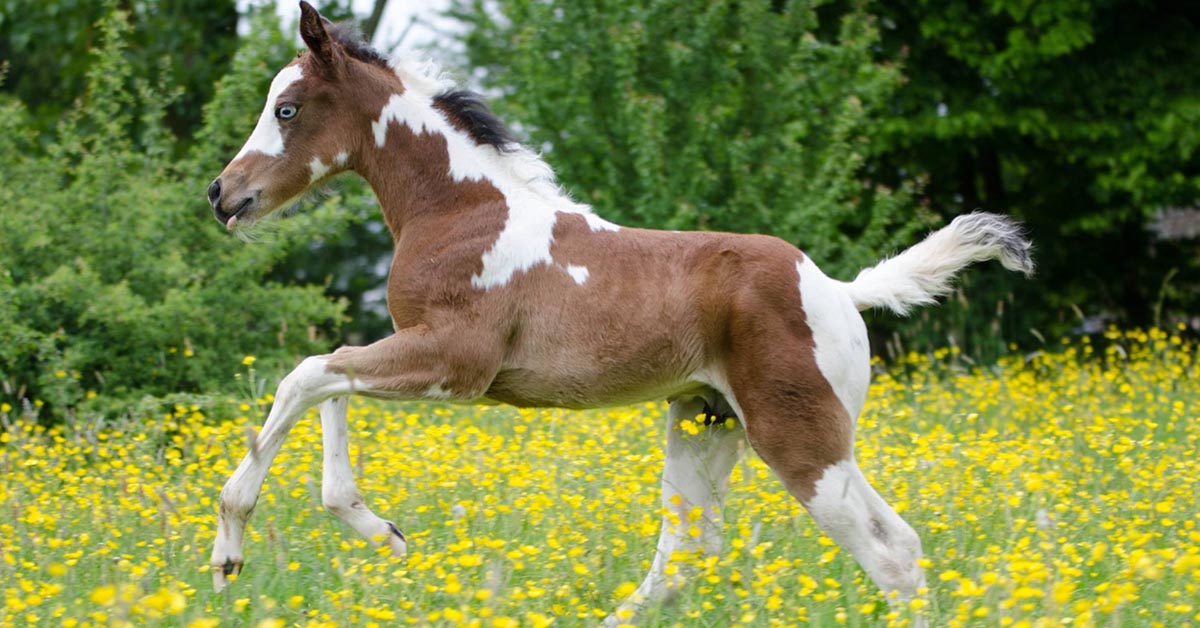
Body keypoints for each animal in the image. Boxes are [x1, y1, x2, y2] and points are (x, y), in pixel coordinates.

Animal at [206, 3, 1032, 624]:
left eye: (287, 108)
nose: (222, 194)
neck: (460, 209)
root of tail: (838, 289)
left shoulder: (454, 359)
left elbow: (308, 374)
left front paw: (229, 553)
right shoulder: (420, 350)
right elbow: (328, 381)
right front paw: (382, 531)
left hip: (802, 441)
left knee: (891, 554)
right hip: (706, 423)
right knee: (691, 555)